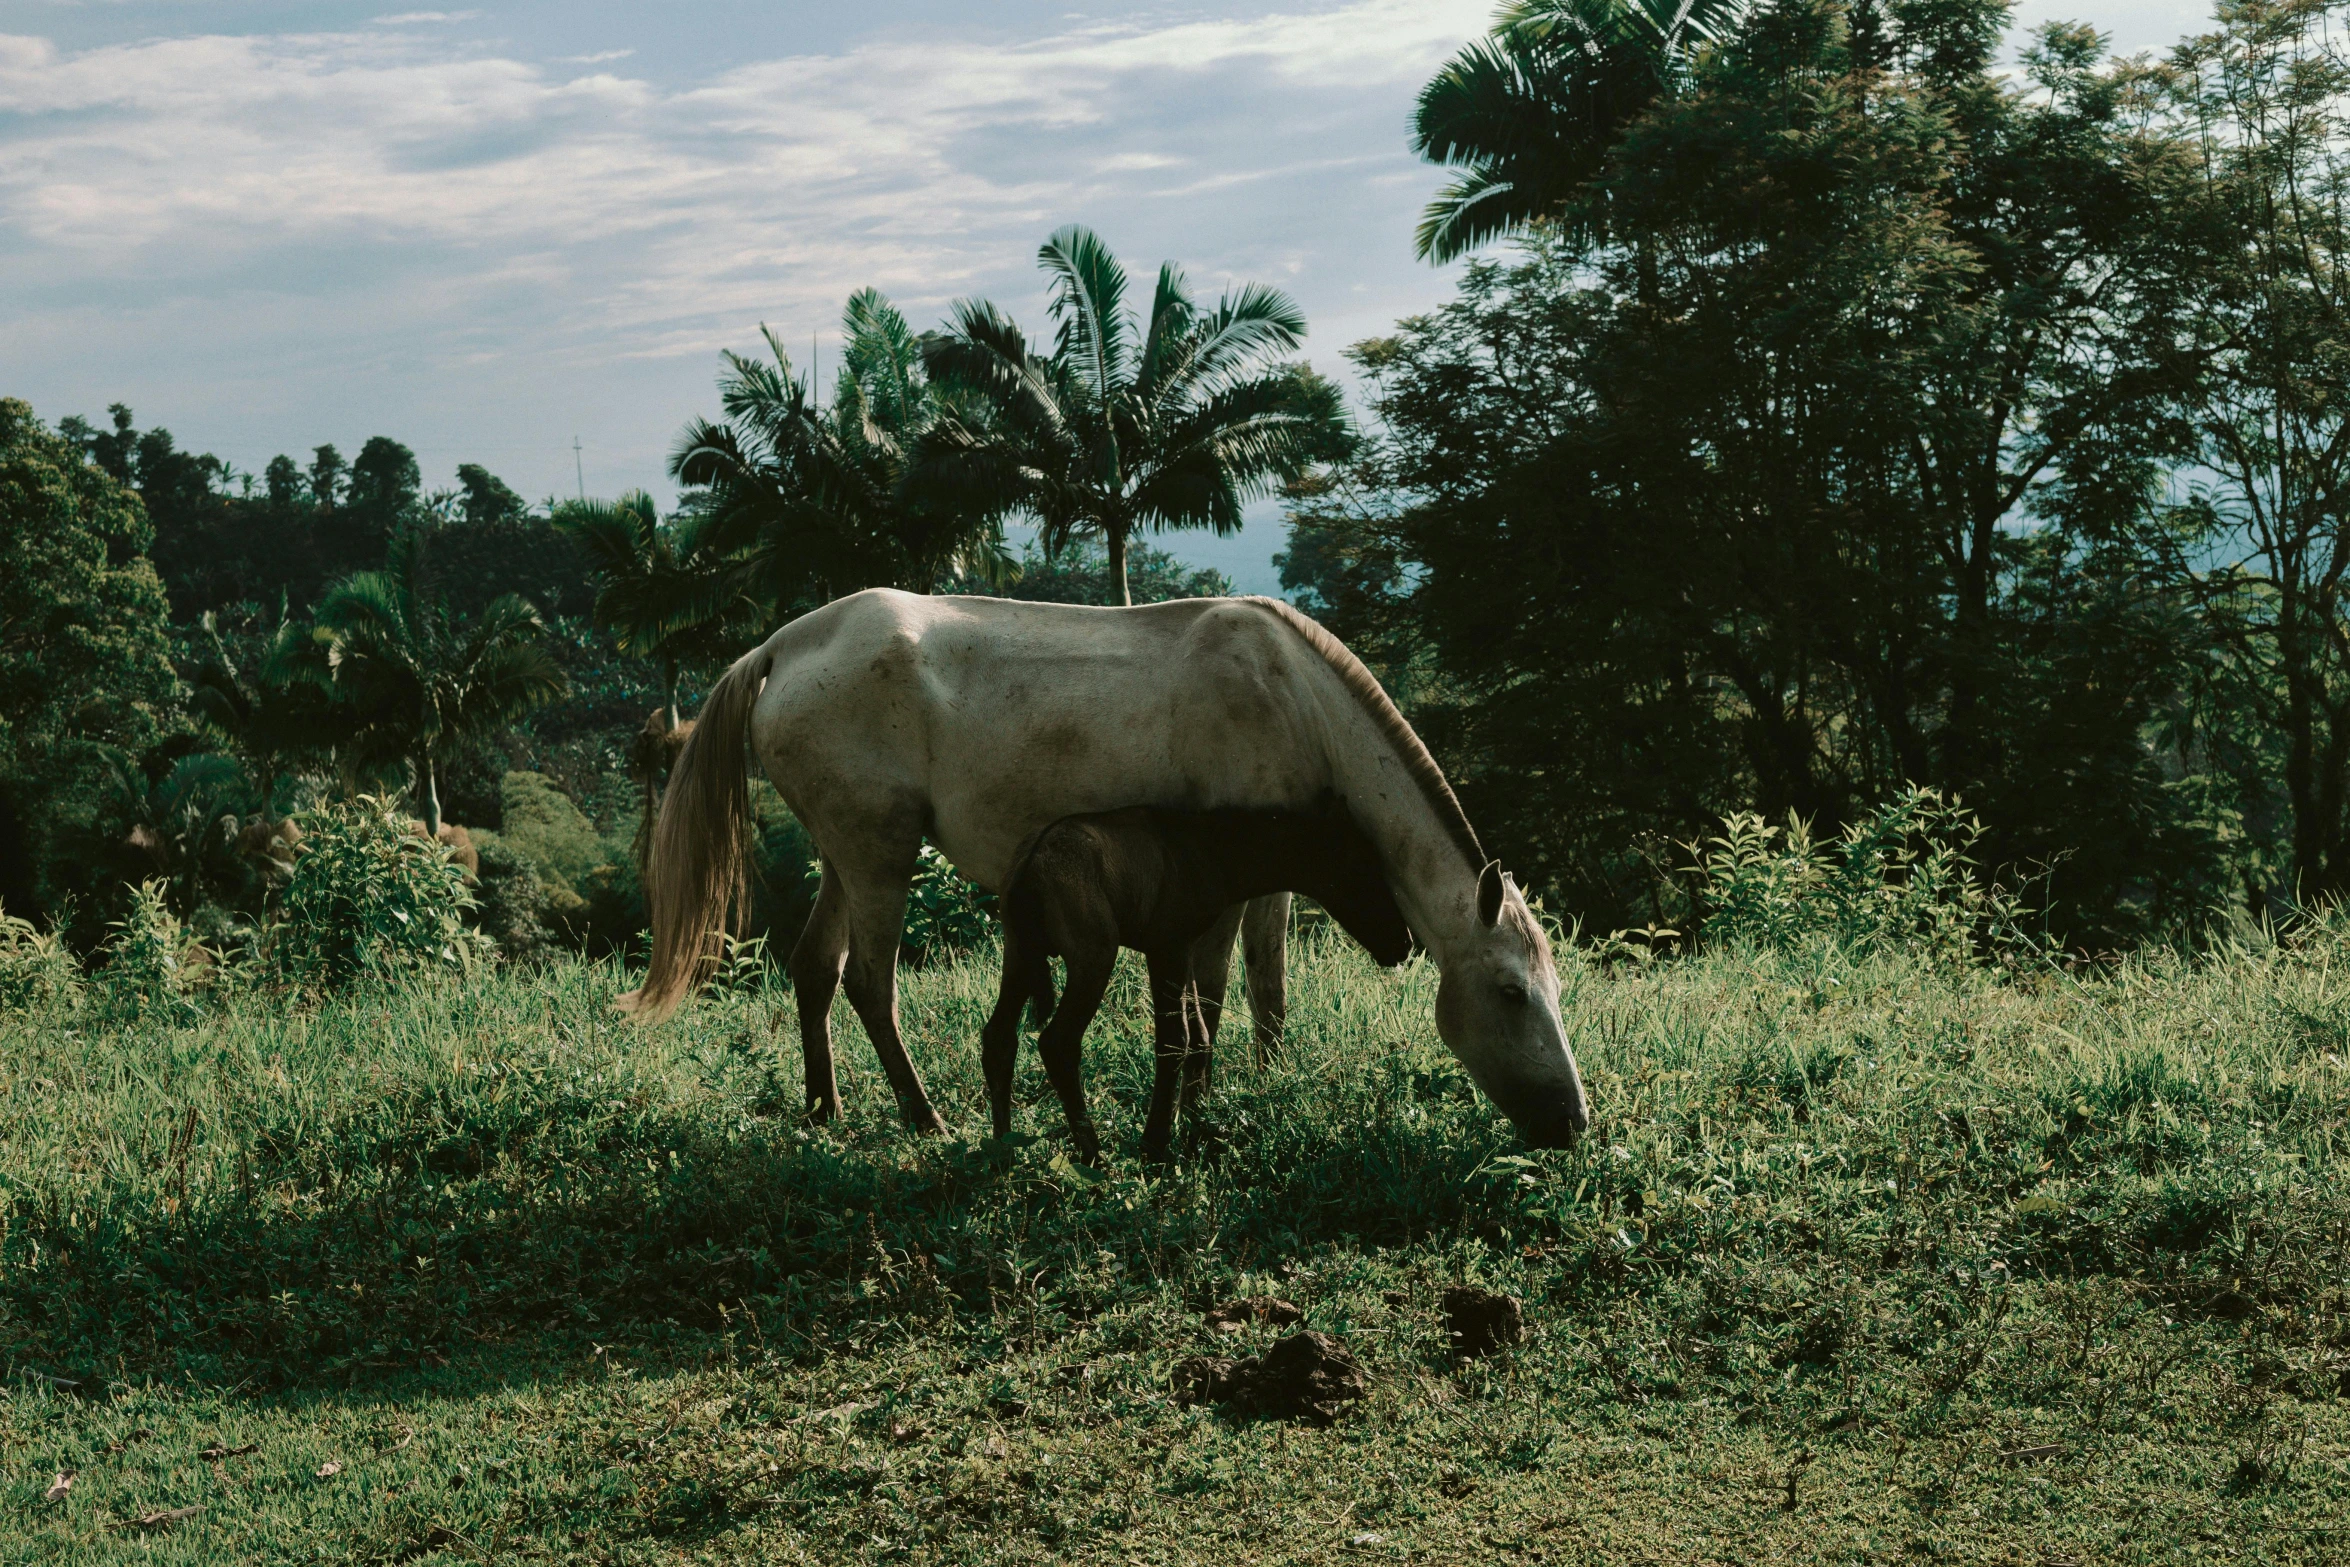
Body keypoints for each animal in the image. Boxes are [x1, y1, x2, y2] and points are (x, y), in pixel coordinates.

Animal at [977, 803, 1400, 1160]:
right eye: (1366, 877)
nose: (1404, 944)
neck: (1212, 850)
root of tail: (1029, 868)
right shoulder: (1167, 947)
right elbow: (1174, 1039)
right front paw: (1155, 1143)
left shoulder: (1185, 951)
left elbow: (1199, 1031)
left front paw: (1196, 1121)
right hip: (1093, 956)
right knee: (1057, 1042)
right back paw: (1094, 1155)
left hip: (1019, 954)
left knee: (998, 1035)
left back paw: (1003, 1151)